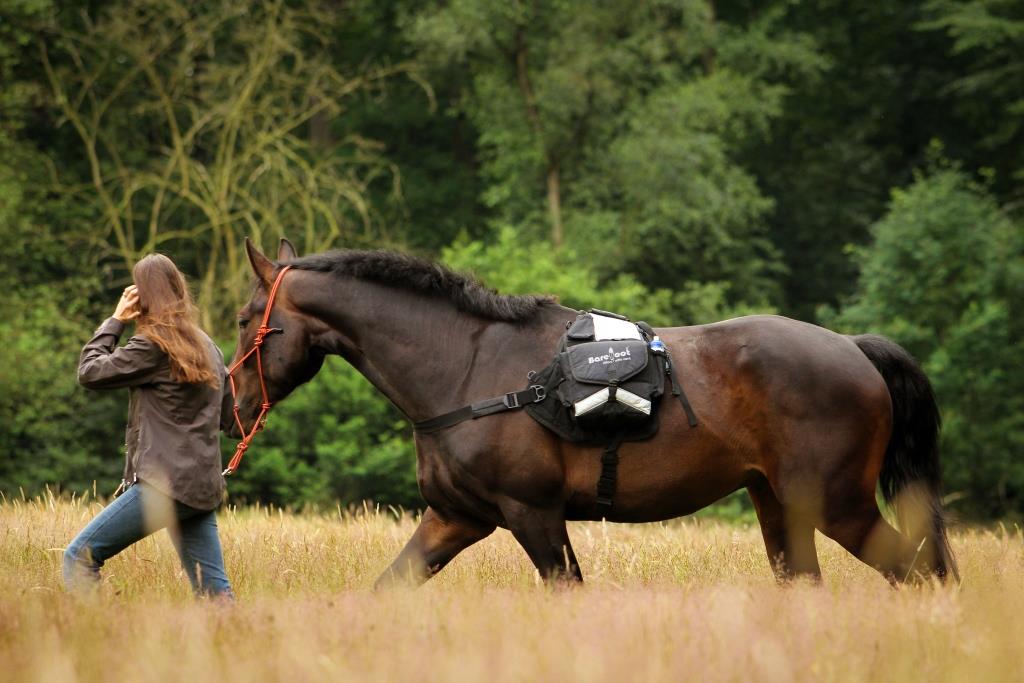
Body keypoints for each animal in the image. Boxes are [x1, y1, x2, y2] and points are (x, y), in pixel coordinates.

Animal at [228, 237, 954, 585]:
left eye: (242, 319)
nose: (231, 407)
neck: (467, 365)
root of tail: (853, 347)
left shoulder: (533, 513)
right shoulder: (456, 518)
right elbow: (389, 585)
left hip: (838, 505)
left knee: (919, 573)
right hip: (781, 504)